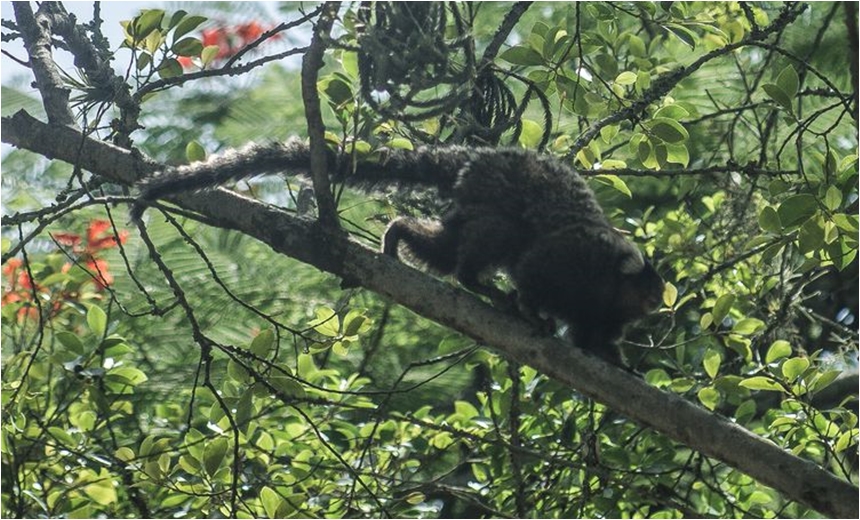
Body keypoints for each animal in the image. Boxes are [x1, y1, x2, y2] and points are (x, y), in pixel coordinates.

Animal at [133, 139, 664, 366]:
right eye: (651, 291)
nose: (660, 305)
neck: (607, 284)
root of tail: (475, 158)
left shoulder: (603, 314)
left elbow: (594, 339)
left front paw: (618, 363)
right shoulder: (571, 260)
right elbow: (534, 271)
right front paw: (533, 312)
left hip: (466, 203)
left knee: (447, 248)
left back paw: (400, 234)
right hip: (493, 195)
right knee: (498, 238)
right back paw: (479, 283)